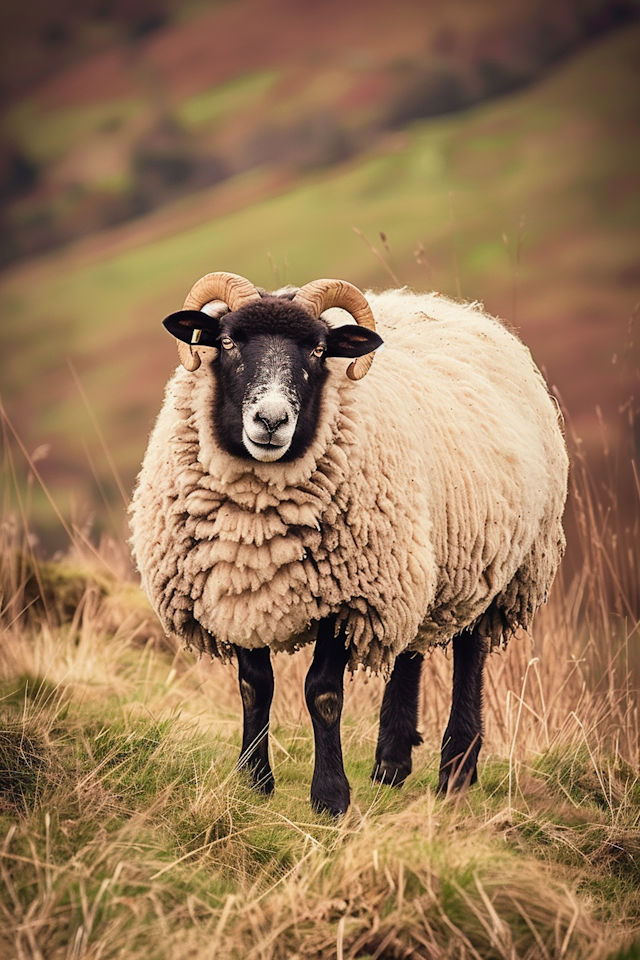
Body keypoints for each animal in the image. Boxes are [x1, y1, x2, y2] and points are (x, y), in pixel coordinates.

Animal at [130, 272, 568, 816]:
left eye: (319, 350)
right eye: (227, 342)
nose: (270, 421)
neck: (257, 528)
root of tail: (458, 308)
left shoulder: (349, 598)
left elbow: (322, 693)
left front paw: (330, 796)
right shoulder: (237, 588)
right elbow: (255, 687)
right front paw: (253, 782)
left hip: (497, 564)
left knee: (471, 652)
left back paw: (455, 771)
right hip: (415, 560)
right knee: (410, 648)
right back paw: (391, 763)